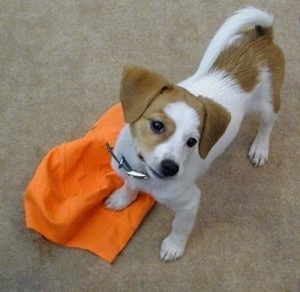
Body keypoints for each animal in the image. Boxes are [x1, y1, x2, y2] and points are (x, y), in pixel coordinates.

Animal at [105, 6, 284, 262]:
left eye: (192, 141)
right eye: (157, 125)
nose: (170, 168)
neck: (143, 174)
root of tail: (262, 36)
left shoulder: (189, 202)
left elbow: (180, 227)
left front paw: (173, 246)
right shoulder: (128, 171)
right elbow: (129, 186)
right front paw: (122, 198)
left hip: (268, 102)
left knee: (268, 123)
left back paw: (260, 148)